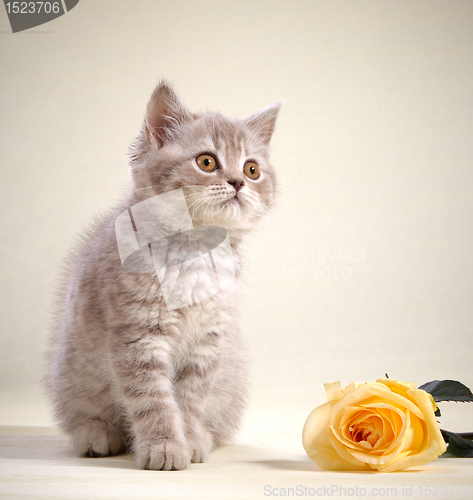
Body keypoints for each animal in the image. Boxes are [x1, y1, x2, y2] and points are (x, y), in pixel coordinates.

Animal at [44, 80, 278, 470]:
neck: (194, 253)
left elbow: (190, 399)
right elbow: (152, 399)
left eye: (252, 170)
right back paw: (96, 433)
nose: (237, 182)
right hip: (71, 372)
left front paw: (190, 439)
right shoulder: (138, 335)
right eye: (206, 161)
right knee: (80, 414)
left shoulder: (207, 342)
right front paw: (164, 447)